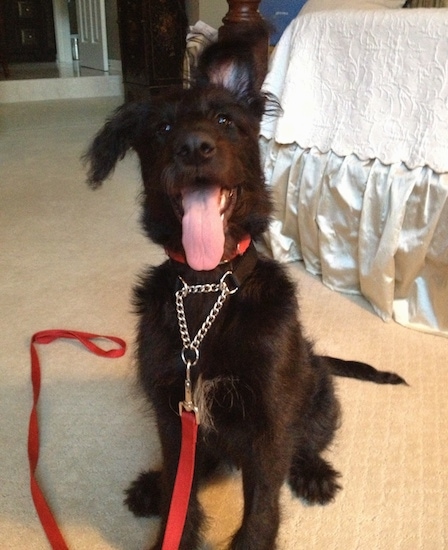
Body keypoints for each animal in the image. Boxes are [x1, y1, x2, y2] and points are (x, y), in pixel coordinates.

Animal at [84, 36, 406, 548]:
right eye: (163, 128)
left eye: (223, 121)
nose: (194, 147)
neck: (207, 283)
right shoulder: (173, 412)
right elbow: (180, 487)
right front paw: (171, 519)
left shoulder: (269, 422)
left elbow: (261, 504)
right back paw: (152, 485)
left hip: (319, 398)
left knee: (308, 441)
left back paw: (313, 472)